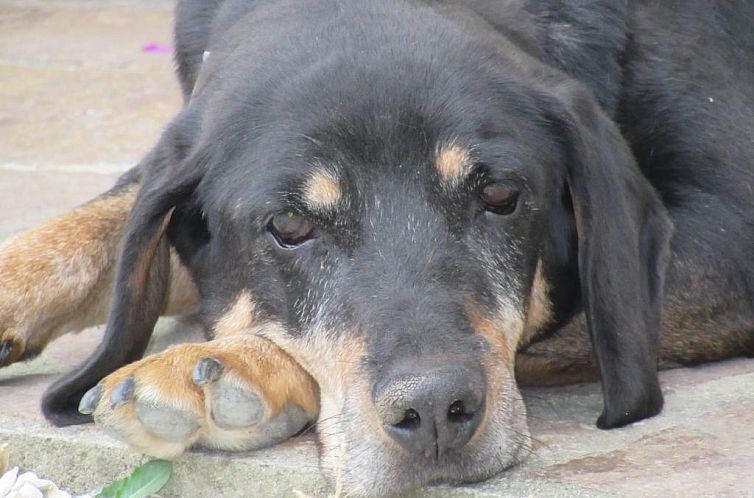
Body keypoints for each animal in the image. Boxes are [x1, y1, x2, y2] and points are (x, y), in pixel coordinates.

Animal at [0, 0, 748, 496]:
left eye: (500, 196)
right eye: (289, 226)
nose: (437, 412)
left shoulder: (726, 234)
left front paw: (229, 366)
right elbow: (107, 214)